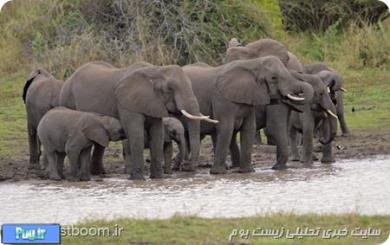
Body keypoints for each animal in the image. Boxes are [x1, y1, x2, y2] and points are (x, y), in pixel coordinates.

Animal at [59, 61, 213, 180]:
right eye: (170, 89)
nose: (186, 166)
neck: (155, 70)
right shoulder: (127, 102)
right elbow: (136, 133)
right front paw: (138, 179)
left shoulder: (153, 102)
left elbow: (157, 134)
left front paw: (158, 178)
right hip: (68, 99)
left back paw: (98, 173)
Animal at [184, 56, 316, 173]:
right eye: (273, 78)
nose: (275, 167)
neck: (252, 63)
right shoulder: (221, 99)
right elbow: (226, 128)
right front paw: (218, 173)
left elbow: (249, 128)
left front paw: (247, 172)